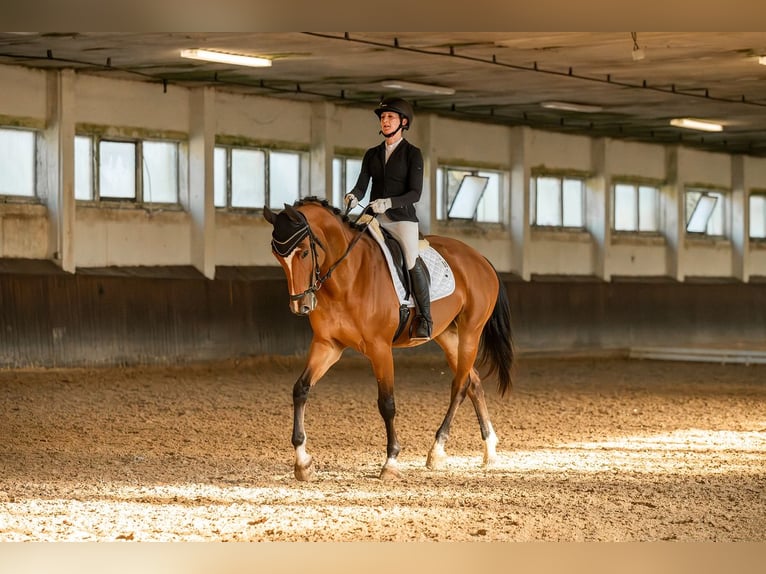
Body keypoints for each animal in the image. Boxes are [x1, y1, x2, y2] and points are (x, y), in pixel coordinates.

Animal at [263, 197, 514, 481]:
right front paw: (303, 462)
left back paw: (437, 450)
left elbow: (387, 403)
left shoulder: (380, 348)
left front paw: (391, 461)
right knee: (473, 382)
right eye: (278, 257)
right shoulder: (328, 345)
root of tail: (481, 259)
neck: (348, 277)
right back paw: (489, 450)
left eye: (304, 252)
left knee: (460, 386)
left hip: (471, 332)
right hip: (448, 336)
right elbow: (301, 389)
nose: (300, 306)